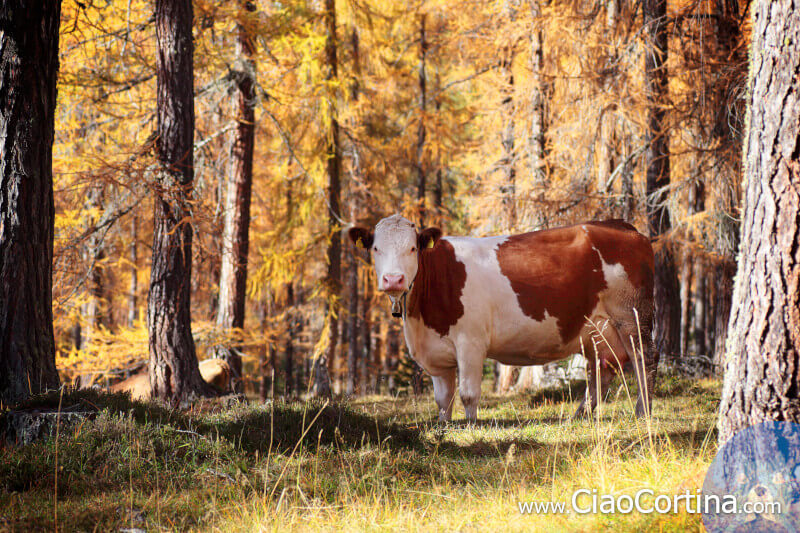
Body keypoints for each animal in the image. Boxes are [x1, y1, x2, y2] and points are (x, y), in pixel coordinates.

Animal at [350, 214, 656, 422]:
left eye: (412, 248)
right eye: (375, 248)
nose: (393, 279)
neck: (420, 321)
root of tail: (621, 226)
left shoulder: (471, 342)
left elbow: (468, 393)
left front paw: (471, 426)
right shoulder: (435, 351)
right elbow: (443, 399)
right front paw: (444, 427)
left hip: (632, 317)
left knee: (644, 361)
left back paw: (643, 412)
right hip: (597, 328)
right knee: (602, 368)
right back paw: (579, 416)